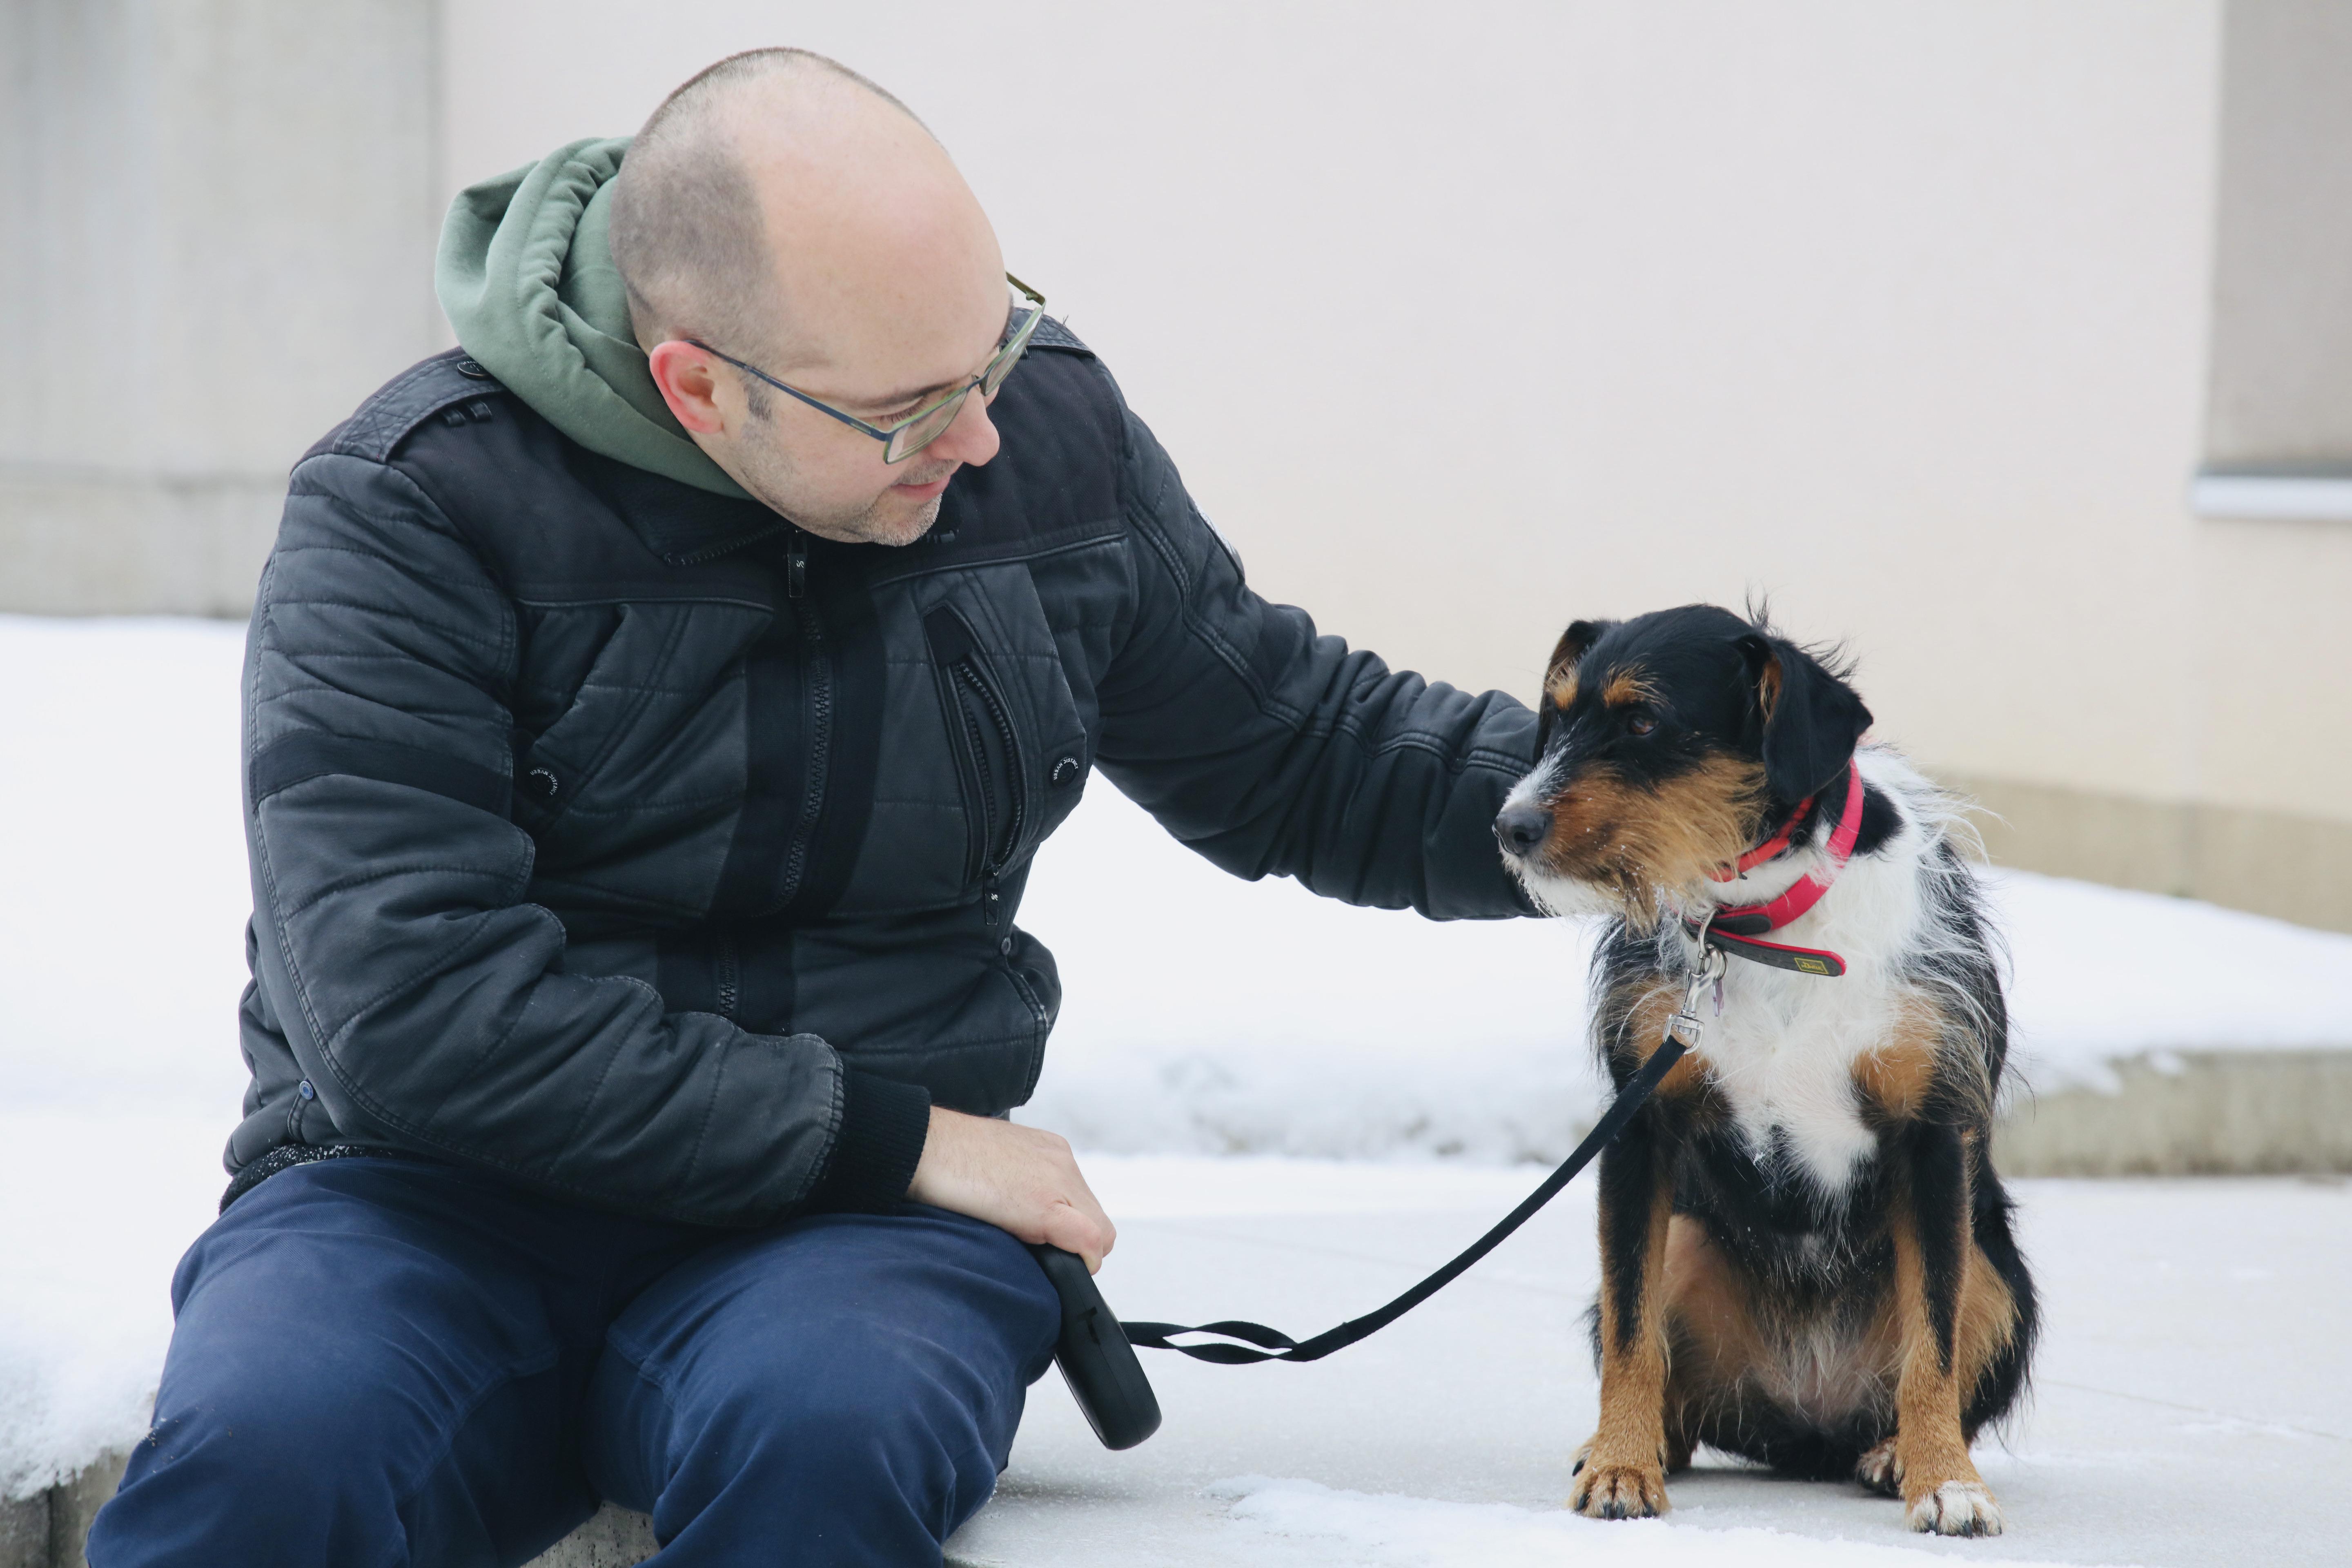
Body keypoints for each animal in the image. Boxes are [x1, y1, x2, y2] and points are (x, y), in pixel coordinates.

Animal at [1496, 606, 2032, 1542]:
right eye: (1555, 718)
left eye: (1644, 721)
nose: (1510, 827)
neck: (1766, 928)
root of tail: (1806, 1425)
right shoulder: (1637, 1131)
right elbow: (1632, 1333)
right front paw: (1620, 1467)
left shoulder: (1933, 1137)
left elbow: (1932, 1343)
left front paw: (1947, 1483)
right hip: (1685, 1239)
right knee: (1661, 1361)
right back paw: (1644, 1443)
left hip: (1997, 1270)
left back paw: (1892, 1452)